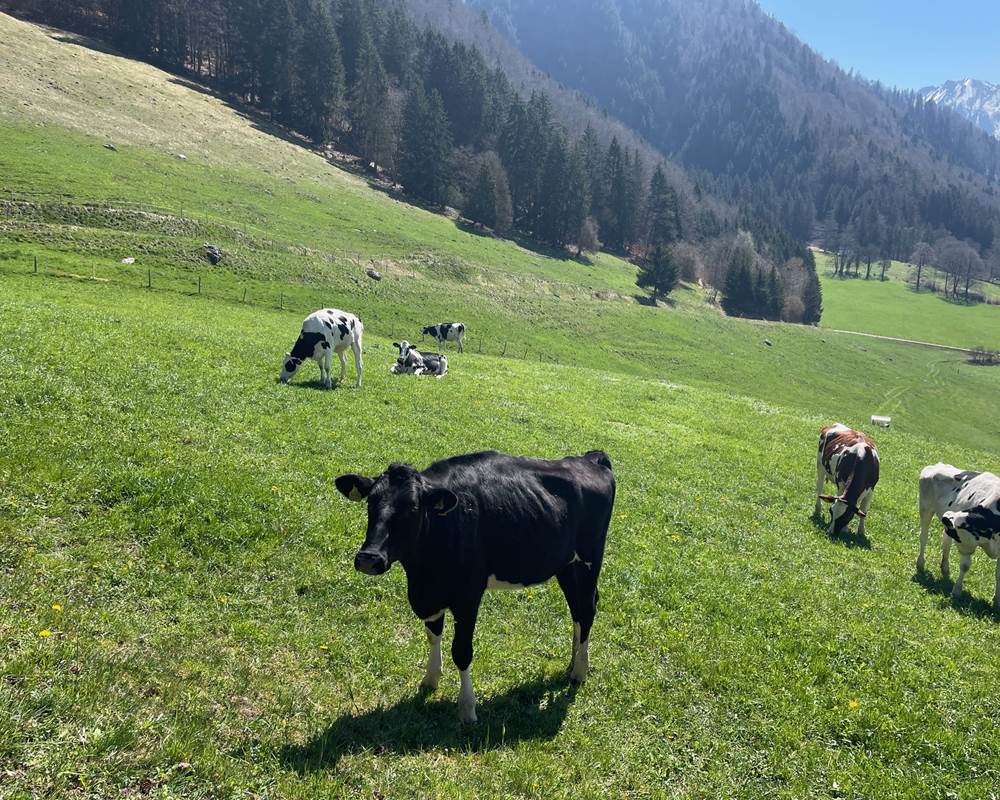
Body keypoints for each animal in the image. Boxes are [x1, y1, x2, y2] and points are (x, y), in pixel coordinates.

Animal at [335, 450, 616, 724]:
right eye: (371, 502)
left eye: (413, 507)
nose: (369, 558)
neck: (422, 572)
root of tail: (589, 457)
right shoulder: (430, 595)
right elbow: (433, 634)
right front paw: (430, 679)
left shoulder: (468, 596)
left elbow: (462, 651)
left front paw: (468, 709)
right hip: (566, 566)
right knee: (577, 611)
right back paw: (573, 663)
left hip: (590, 560)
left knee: (586, 610)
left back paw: (579, 672)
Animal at [918, 464, 1000, 608]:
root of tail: (936, 465)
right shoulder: (966, 544)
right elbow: (965, 566)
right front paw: (956, 591)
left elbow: (998, 575)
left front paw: (997, 602)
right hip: (925, 509)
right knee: (924, 537)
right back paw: (920, 564)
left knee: (945, 541)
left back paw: (945, 569)